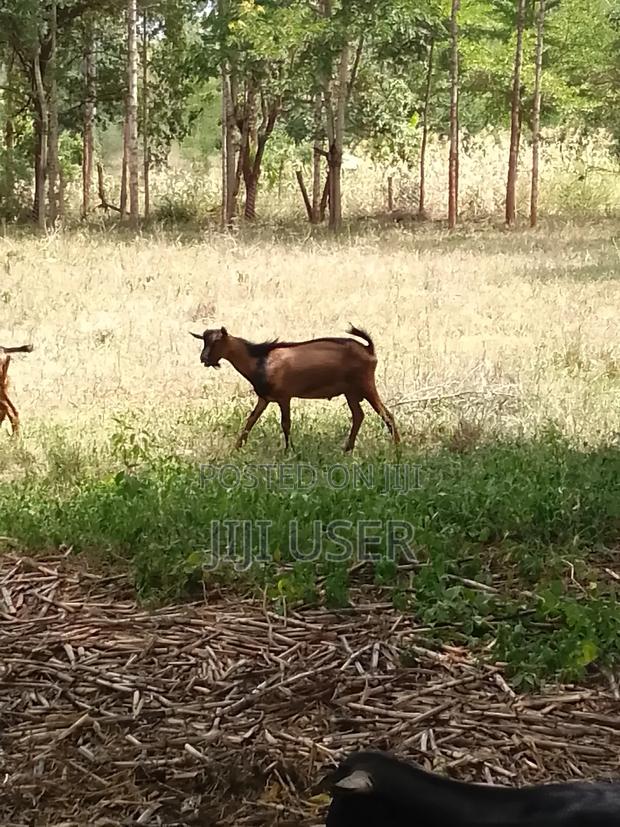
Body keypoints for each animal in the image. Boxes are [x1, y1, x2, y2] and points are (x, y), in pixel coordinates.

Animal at [190, 326, 399, 451]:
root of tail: (368, 349)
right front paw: (236, 448)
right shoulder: (264, 398)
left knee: (387, 414)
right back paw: (347, 448)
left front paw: (289, 450)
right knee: (358, 415)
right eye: (204, 340)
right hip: (350, 391)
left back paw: (397, 447)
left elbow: (286, 424)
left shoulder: (284, 397)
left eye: (217, 342)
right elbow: (250, 420)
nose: (204, 359)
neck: (260, 361)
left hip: (365, 384)